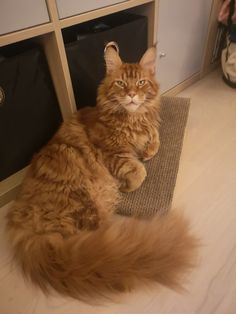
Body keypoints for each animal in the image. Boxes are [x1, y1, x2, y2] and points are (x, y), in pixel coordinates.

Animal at [6, 44, 197, 302]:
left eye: (141, 83)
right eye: (121, 83)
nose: (131, 95)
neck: (133, 118)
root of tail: (21, 223)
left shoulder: (148, 127)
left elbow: (155, 136)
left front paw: (148, 149)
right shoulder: (111, 154)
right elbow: (140, 170)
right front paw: (130, 183)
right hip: (85, 200)